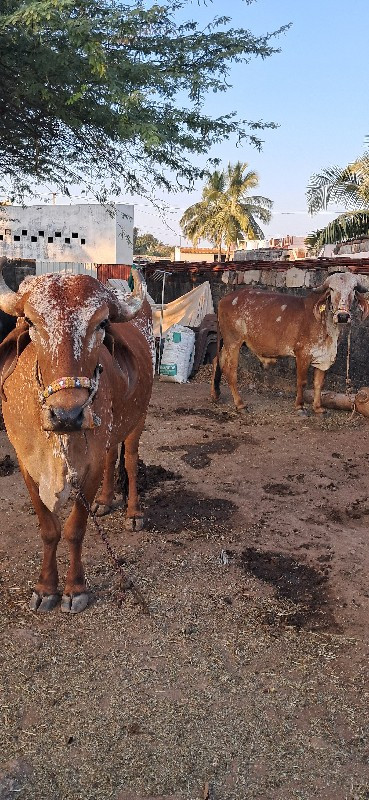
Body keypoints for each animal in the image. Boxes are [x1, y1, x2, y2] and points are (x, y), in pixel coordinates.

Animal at [0, 262, 152, 612]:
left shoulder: (90, 464)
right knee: (112, 457)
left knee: (131, 461)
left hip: (138, 418)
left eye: (102, 323)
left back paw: (133, 512)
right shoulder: (25, 462)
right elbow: (48, 528)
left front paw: (75, 588)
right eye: (31, 322)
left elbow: (75, 529)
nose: (68, 415)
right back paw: (105, 501)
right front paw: (45, 588)